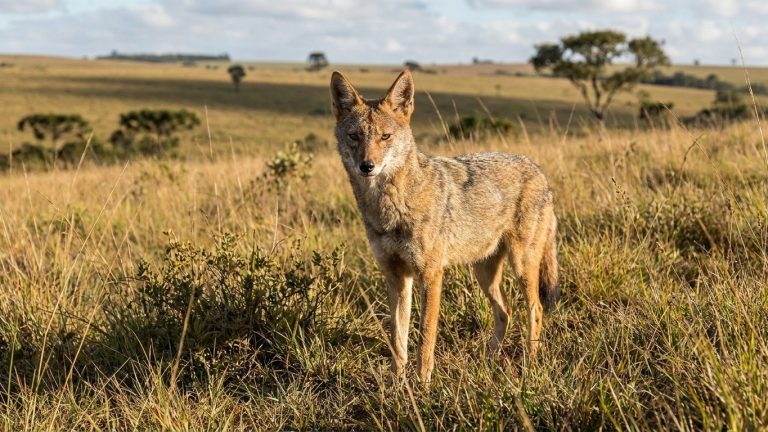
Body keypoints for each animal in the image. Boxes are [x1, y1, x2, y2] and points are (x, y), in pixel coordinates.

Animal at [330, 70, 559, 383]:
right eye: (354, 137)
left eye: (385, 137)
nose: (367, 166)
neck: (390, 208)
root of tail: (538, 169)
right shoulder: (395, 276)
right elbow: (397, 339)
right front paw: (396, 386)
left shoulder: (431, 275)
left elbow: (425, 338)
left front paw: (423, 385)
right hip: (484, 274)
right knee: (505, 312)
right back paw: (487, 366)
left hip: (522, 266)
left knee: (535, 309)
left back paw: (530, 365)